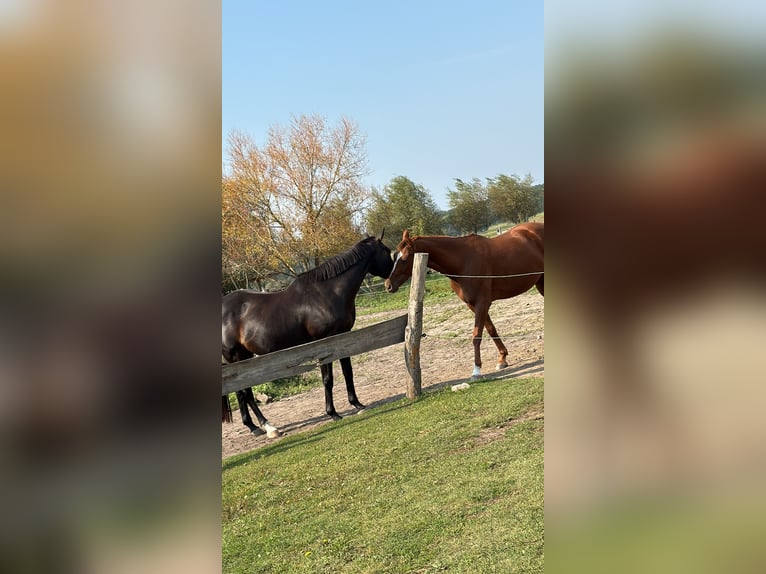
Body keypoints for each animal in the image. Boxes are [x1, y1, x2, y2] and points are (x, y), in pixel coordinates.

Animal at [219, 232, 392, 438]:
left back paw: (253, 427)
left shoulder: (343, 337)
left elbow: (348, 373)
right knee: (245, 393)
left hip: (243, 357)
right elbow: (328, 379)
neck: (327, 292)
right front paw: (333, 413)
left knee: (242, 393)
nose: (391, 281)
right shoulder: (323, 342)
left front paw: (357, 404)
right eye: (387, 251)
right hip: (235, 357)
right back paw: (268, 427)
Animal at [384, 223, 544, 380]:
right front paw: (502, 359)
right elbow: (491, 329)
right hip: (540, 283)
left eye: (404, 259)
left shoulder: (482, 303)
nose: (388, 285)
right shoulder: (472, 305)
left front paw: (476, 371)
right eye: (394, 257)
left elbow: (476, 335)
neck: (463, 261)